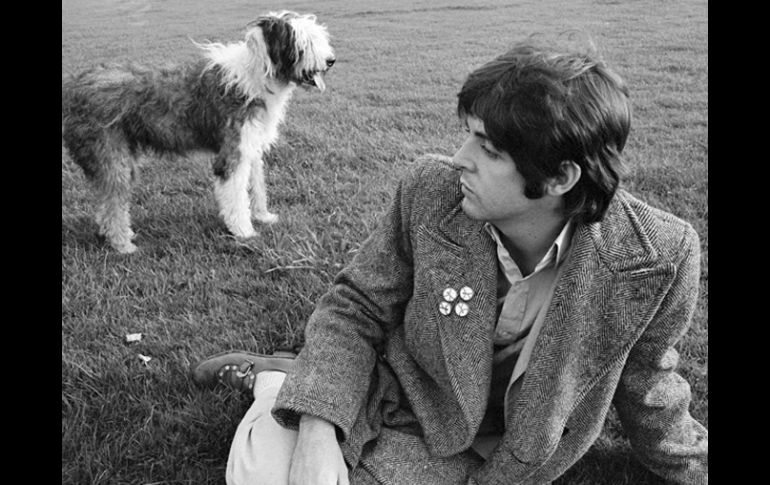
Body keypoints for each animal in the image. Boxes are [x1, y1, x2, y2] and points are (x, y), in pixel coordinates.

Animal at [62, 11, 332, 253]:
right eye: (305, 43)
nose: (331, 61)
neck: (258, 77)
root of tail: (72, 87)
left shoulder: (251, 148)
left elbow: (257, 187)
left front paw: (263, 216)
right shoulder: (232, 151)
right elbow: (236, 197)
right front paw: (245, 232)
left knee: (105, 202)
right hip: (110, 155)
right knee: (112, 204)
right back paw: (123, 245)